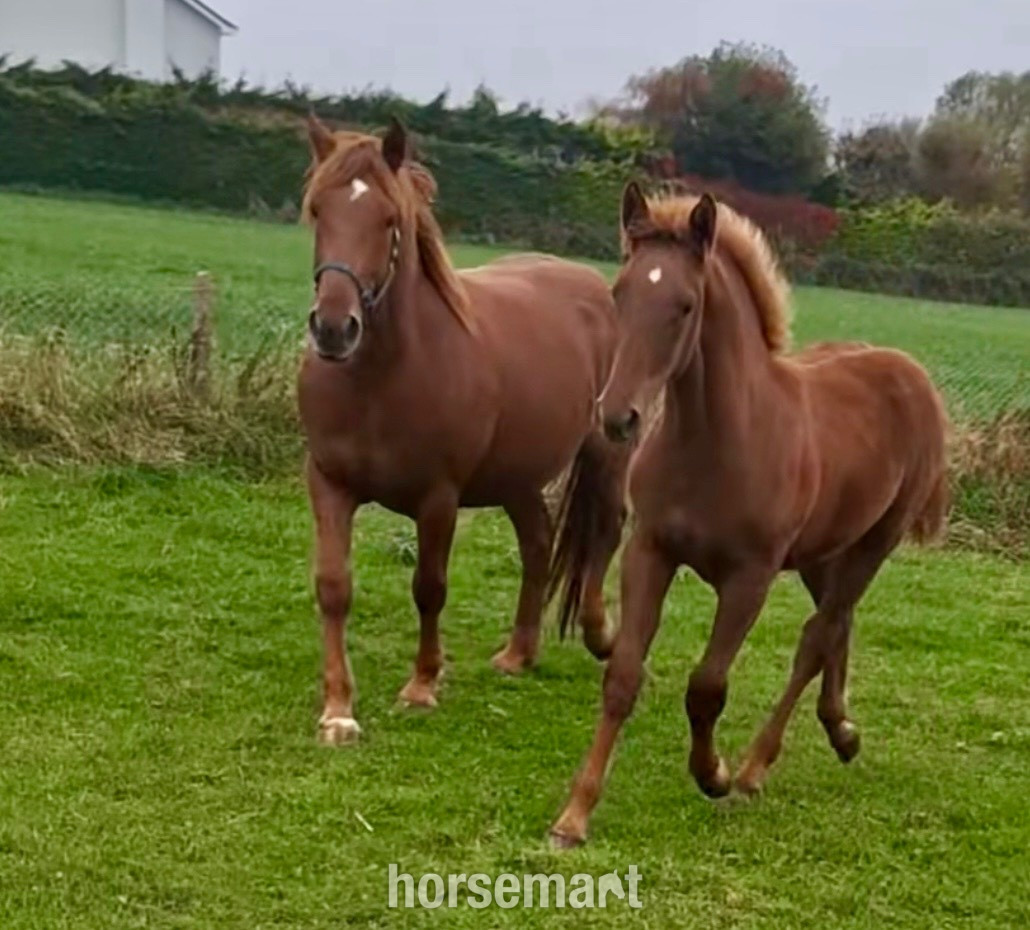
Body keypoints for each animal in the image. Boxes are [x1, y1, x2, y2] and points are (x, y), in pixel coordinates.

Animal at [297, 116, 627, 745]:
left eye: (389, 220)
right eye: (318, 211)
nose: (333, 328)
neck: (380, 380)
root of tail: (594, 285)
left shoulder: (438, 498)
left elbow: (430, 588)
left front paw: (422, 685)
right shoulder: (330, 483)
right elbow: (333, 586)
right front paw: (338, 709)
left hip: (607, 450)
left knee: (605, 529)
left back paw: (602, 636)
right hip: (517, 477)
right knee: (538, 544)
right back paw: (518, 654)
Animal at [548, 184, 949, 846]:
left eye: (685, 305)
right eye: (619, 293)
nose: (617, 417)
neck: (717, 440)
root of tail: (911, 373)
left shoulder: (750, 579)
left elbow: (707, 686)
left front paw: (712, 773)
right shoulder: (650, 551)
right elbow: (623, 676)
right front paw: (574, 815)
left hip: (875, 542)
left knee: (817, 636)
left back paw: (757, 767)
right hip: (822, 552)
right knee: (838, 624)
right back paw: (842, 731)